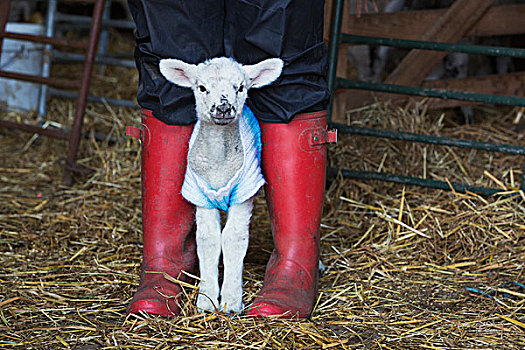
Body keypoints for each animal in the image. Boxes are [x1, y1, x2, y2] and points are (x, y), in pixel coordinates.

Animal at [159, 56, 282, 314]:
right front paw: (206, 301)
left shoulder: (244, 192)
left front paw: (231, 302)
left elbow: (233, 238)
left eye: (241, 87)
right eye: (202, 88)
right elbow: (209, 240)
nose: (223, 108)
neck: (219, 162)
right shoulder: (200, 195)